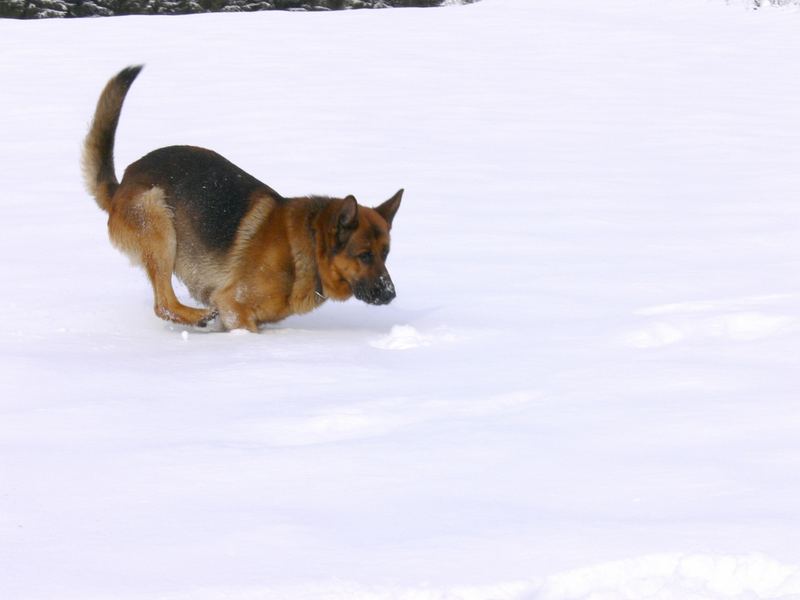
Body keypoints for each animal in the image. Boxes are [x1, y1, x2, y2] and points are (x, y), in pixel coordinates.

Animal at [84, 67, 404, 332]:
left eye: (386, 253)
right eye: (364, 255)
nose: (390, 294)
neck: (309, 246)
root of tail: (121, 184)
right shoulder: (232, 306)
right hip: (158, 221)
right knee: (163, 304)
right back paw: (198, 316)